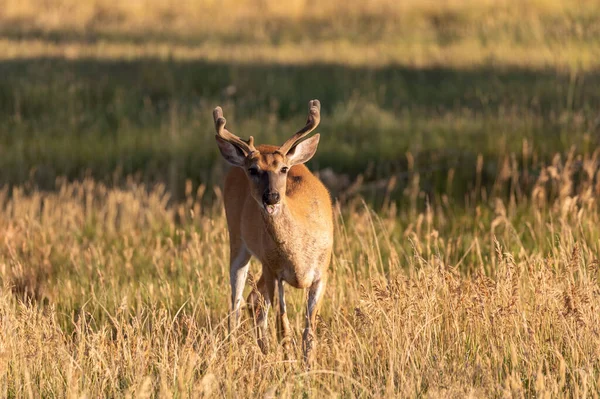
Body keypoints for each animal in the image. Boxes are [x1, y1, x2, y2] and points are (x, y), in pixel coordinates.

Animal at [213, 99, 332, 362]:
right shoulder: (275, 272)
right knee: (237, 303)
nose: (272, 196)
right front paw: (289, 363)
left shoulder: (322, 271)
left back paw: (264, 351)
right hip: (238, 241)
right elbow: (284, 327)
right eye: (253, 170)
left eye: (284, 169)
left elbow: (309, 331)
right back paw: (235, 350)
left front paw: (309, 365)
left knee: (253, 299)